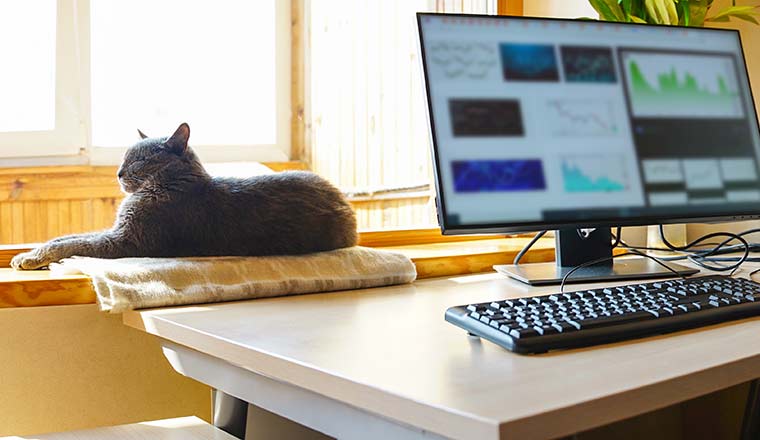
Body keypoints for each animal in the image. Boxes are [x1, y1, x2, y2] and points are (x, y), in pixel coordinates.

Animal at [11, 122, 356, 270]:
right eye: (124, 158)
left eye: (139, 160)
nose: (118, 172)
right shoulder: (115, 230)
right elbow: (67, 237)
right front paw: (27, 252)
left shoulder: (127, 240)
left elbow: (74, 243)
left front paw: (30, 258)